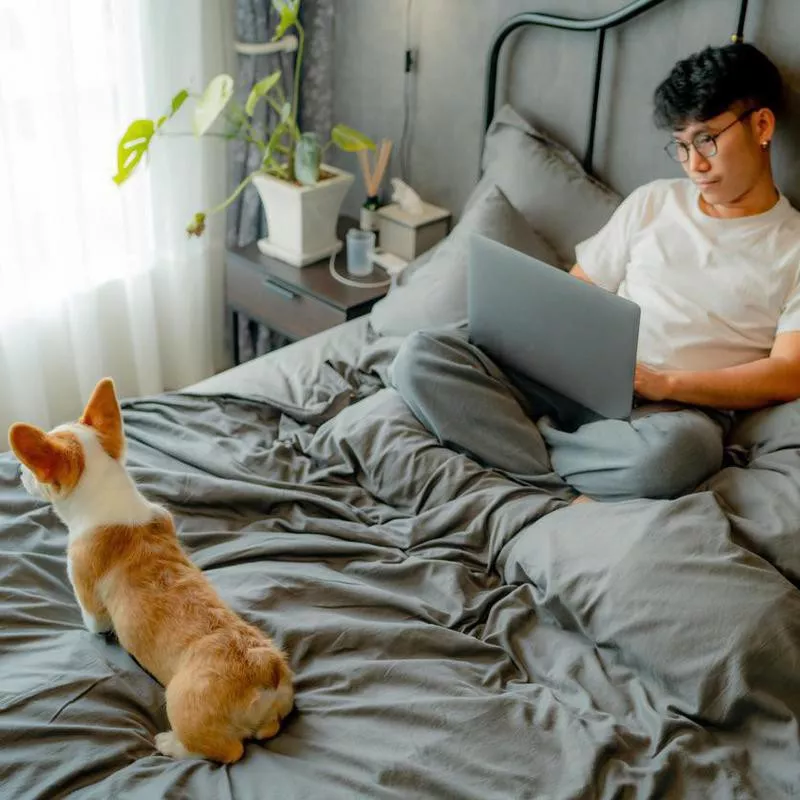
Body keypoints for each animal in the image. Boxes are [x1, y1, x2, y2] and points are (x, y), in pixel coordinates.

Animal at [7, 378, 294, 764]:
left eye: (32, 468)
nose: (17, 472)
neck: (108, 495)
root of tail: (266, 672)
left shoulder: (87, 596)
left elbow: (92, 620)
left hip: (181, 704)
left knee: (226, 751)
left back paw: (170, 744)